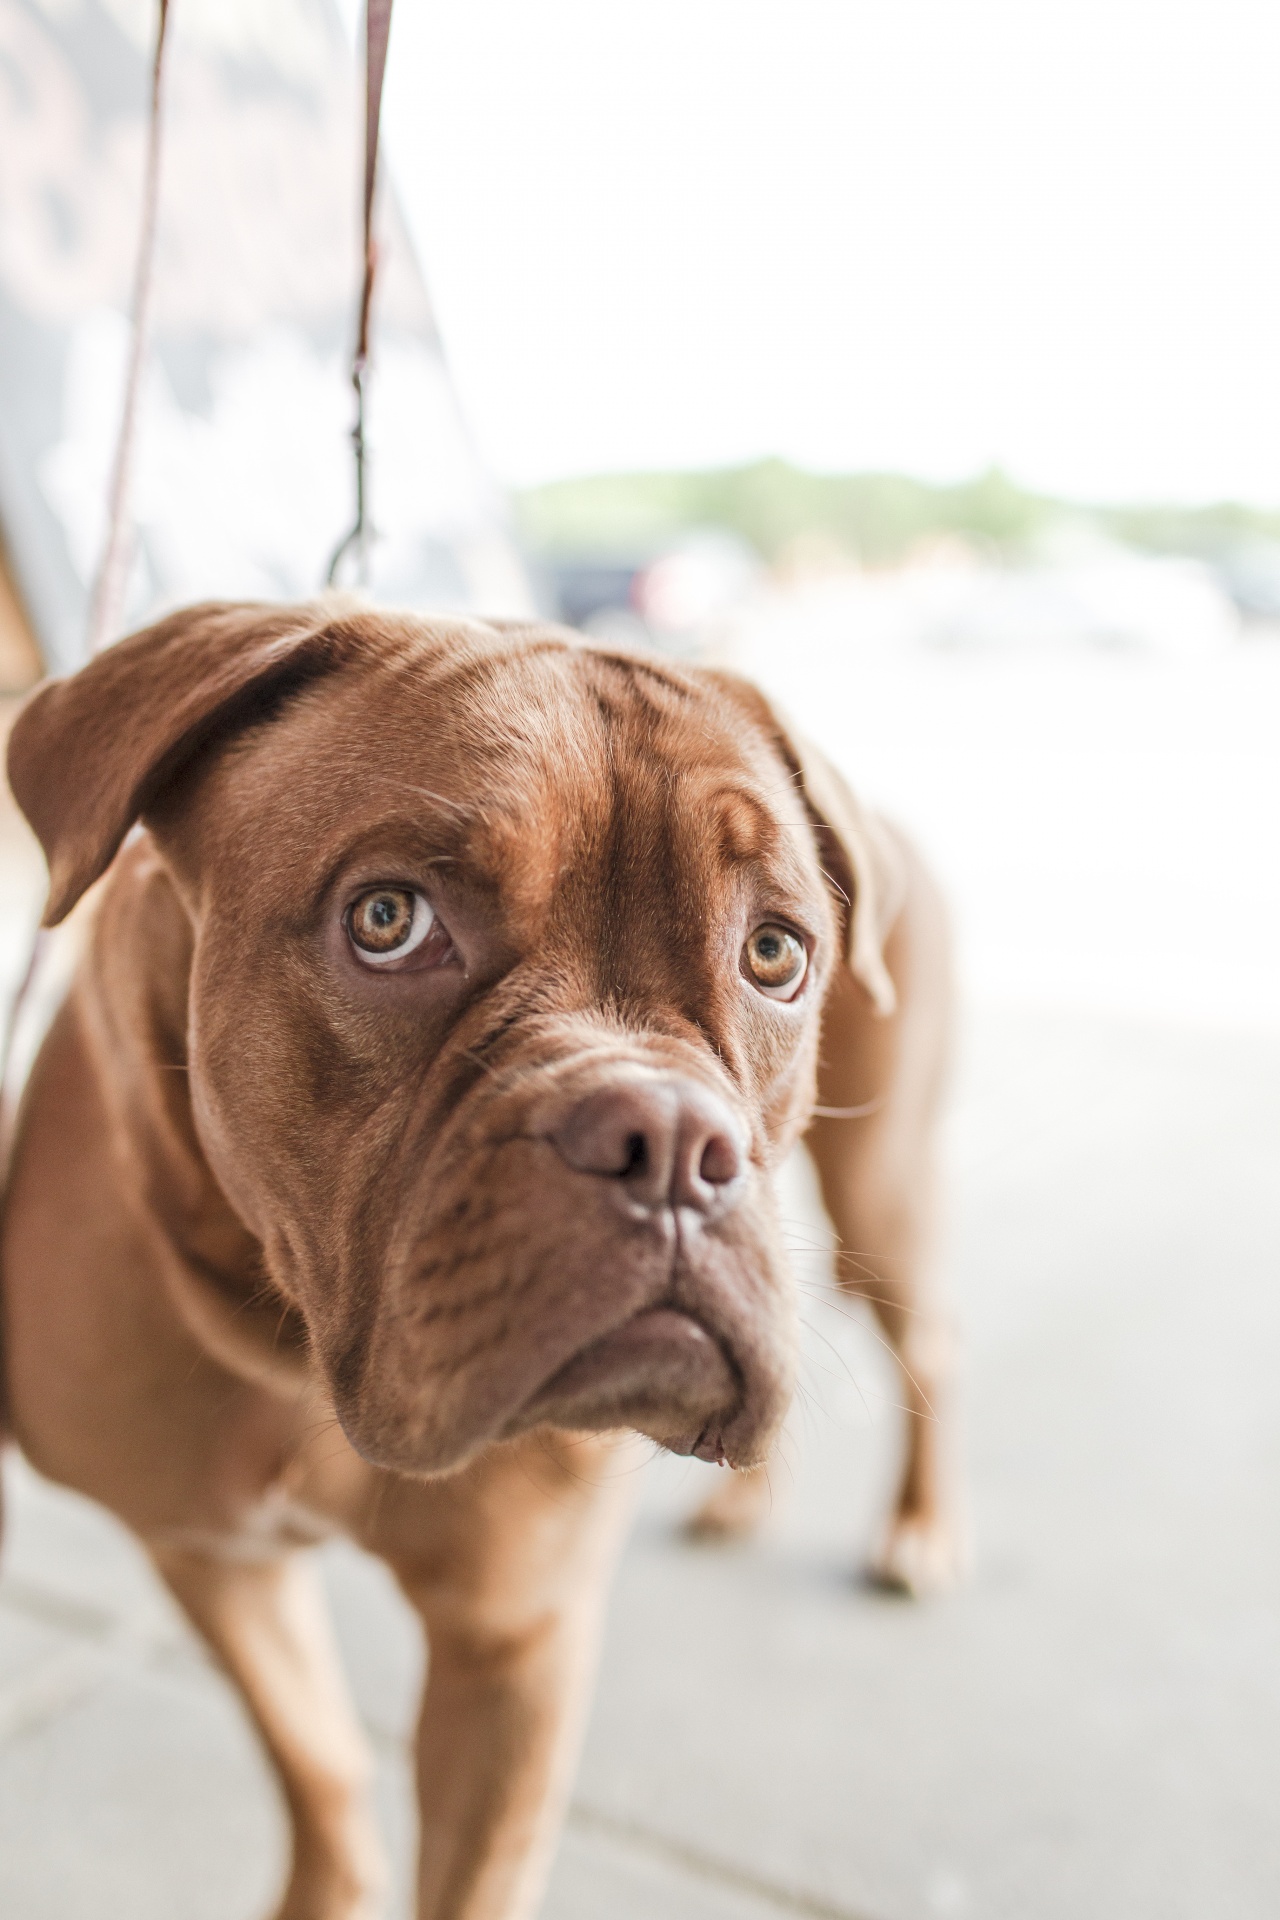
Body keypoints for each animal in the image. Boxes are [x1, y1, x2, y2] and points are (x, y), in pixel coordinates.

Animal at [0, 602, 959, 1920]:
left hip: (880, 1202)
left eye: (774, 953)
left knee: (929, 1347)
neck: (296, 1356)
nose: (668, 1141)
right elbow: (319, 1757)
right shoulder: (210, 1553)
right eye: (387, 920)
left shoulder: (510, 1643)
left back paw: (916, 1529)